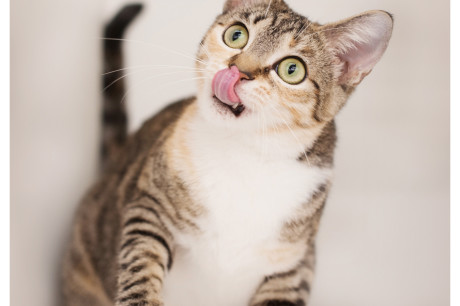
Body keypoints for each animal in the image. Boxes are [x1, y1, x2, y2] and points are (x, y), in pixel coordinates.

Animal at [60, 1, 392, 304]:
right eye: (236, 35)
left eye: (292, 69)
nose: (237, 70)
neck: (244, 154)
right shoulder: (149, 205)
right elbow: (141, 260)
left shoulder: (295, 263)